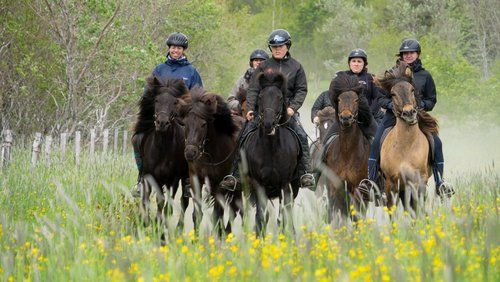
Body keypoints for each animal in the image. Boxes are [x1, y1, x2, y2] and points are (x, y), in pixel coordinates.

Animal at [133, 76, 189, 228]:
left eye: (175, 102)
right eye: (156, 100)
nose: (162, 123)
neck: (162, 148)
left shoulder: (172, 179)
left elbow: (164, 202)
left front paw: (159, 225)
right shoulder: (150, 176)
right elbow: (147, 199)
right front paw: (145, 222)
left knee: (184, 200)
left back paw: (179, 227)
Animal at [180, 87, 242, 235]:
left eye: (203, 124)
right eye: (184, 123)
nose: (190, 153)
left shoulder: (221, 183)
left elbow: (216, 215)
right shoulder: (196, 179)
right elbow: (197, 214)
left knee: (234, 210)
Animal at [242, 70, 300, 234]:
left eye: (280, 97)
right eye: (260, 97)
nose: (268, 124)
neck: (271, 149)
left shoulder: (285, 185)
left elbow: (284, 217)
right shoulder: (258, 185)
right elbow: (261, 217)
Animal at [324, 73, 376, 223]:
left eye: (357, 100)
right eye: (339, 99)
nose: (346, 117)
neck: (347, 153)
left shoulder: (359, 190)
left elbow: (356, 216)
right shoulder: (336, 188)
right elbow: (338, 214)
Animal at [376, 61, 438, 212]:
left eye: (412, 90)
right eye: (392, 94)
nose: (409, 113)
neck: (406, 146)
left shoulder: (419, 181)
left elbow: (418, 207)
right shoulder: (391, 183)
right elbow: (392, 210)